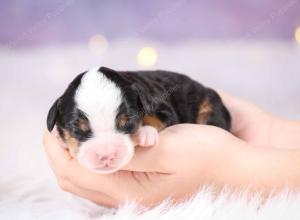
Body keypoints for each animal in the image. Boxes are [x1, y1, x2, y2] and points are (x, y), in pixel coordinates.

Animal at [46, 66, 230, 173]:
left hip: (210, 105)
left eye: (128, 122)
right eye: (77, 128)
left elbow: (154, 118)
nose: (106, 156)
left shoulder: (164, 107)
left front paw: (145, 133)